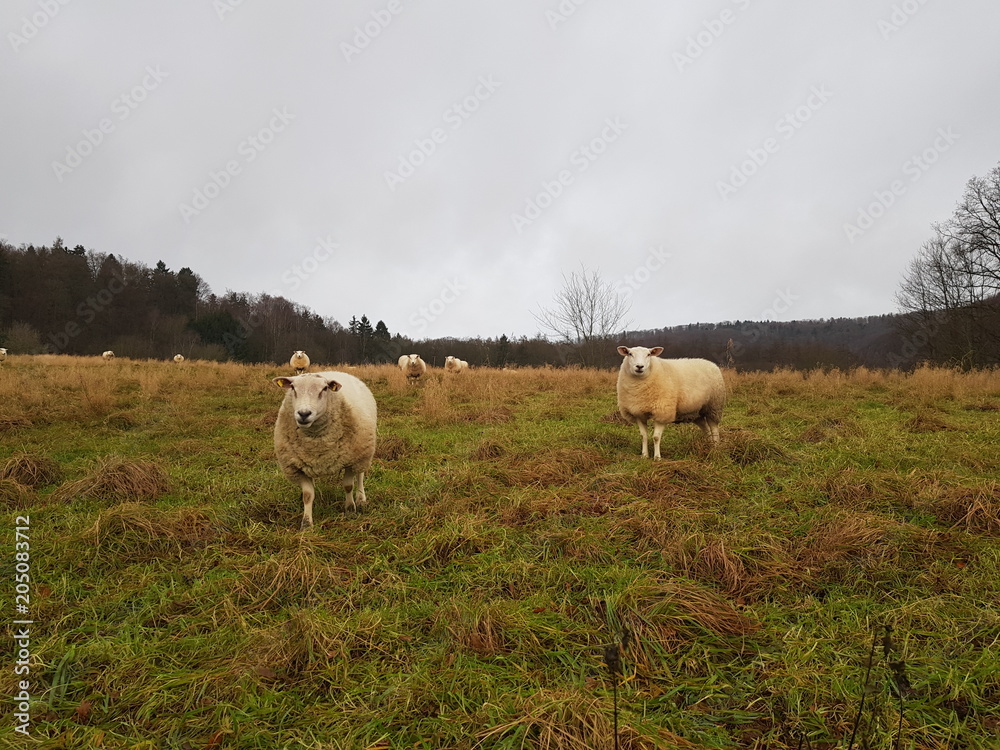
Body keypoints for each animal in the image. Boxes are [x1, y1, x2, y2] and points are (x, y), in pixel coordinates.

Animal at [273, 371, 377, 529]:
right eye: (293, 388)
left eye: (324, 389)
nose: (304, 413)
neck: (316, 442)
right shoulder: (297, 467)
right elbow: (308, 495)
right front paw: (306, 523)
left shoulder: (351, 460)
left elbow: (348, 486)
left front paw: (350, 509)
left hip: (363, 453)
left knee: (360, 475)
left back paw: (361, 499)